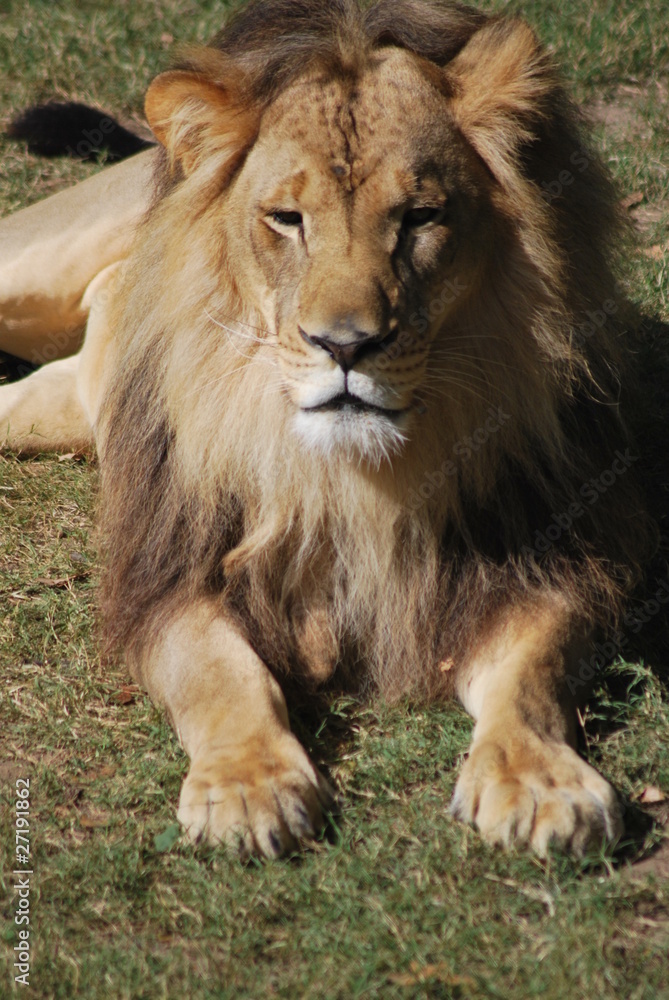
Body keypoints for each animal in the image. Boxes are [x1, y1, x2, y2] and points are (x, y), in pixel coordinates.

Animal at [0, 0, 655, 858]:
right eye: (286, 219)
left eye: (419, 218)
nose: (344, 346)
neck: (353, 472)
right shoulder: (175, 570)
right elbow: (220, 672)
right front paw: (248, 784)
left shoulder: (545, 559)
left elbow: (531, 675)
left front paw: (541, 781)